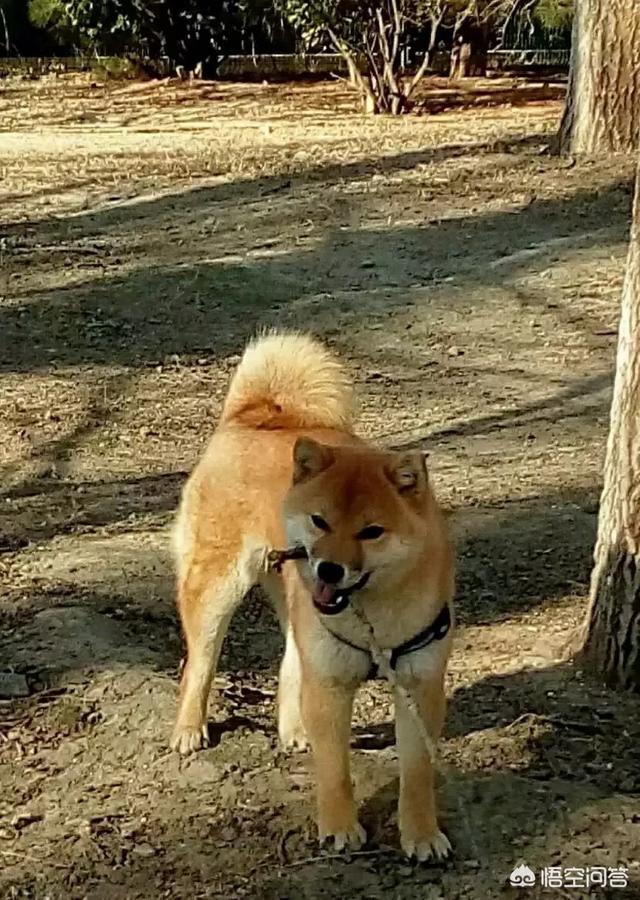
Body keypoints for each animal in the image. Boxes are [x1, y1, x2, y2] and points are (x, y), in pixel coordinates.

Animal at [170, 334, 456, 860]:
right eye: (320, 521)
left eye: (371, 531)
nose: (328, 568)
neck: (374, 616)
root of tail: (251, 416)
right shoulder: (331, 684)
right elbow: (335, 770)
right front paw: (340, 828)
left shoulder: (418, 686)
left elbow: (417, 775)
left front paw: (422, 834)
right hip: (218, 590)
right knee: (198, 664)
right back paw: (188, 730)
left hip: (294, 608)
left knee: (289, 664)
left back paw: (293, 729)